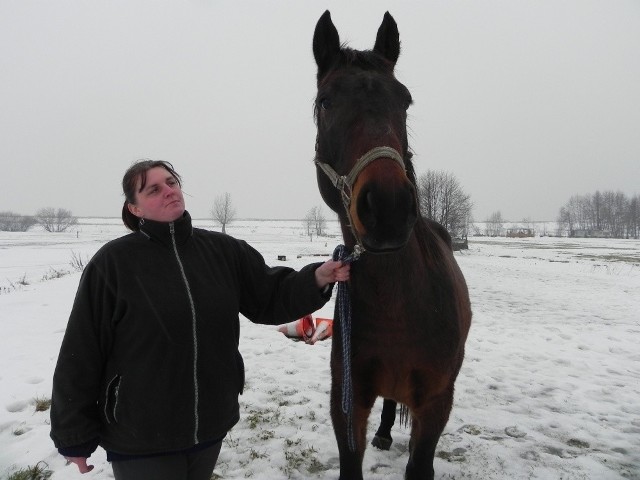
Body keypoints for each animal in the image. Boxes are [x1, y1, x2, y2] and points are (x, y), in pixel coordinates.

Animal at [312, 11, 472, 480]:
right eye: (325, 102)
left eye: (405, 101)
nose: (388, 207)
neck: (399, 306)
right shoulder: (347, 402)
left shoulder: (436, 404)